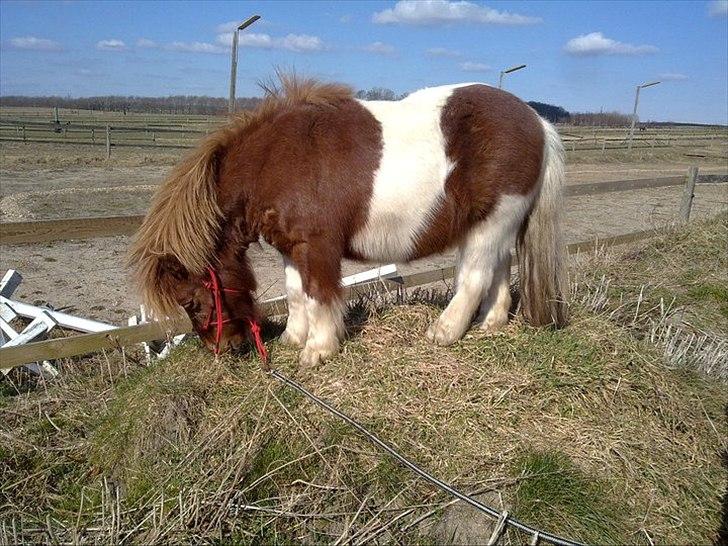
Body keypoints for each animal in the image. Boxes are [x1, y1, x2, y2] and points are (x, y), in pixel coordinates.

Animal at [132, 74, 576, 364]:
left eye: (190, 301)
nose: (228, 349)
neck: (273, 160)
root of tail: (537, 121)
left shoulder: (318, 245)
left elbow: (319, 294)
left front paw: (318, 349)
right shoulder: (291, 246)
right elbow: (295, 293)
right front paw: (294, 338)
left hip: (490, 222)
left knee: (474, 277)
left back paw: (444, 332)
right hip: (494, 224)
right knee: (499, 269)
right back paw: (490, 323)